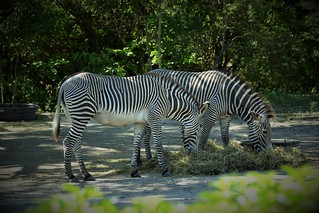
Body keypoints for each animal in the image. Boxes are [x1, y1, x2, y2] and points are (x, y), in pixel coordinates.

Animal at [52, 72, 209, 182]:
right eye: (199, 127)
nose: (195, 155)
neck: (168, 99)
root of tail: (65, 83)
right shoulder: (155, 118)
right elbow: (158, 144)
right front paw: (164, 169)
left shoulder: (140, 122)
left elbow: (135, 144)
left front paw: (134, 171)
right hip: (82, 114)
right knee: (68, 141)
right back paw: (71, 176)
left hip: (75, 117)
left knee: (76, 143)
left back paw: (86, 174)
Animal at [140, 68, 276, 160]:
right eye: (265, 132)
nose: (271, 154)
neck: (229, 96)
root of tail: (148, 72)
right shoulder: (211, 115)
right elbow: (204, 136)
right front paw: (200, 154)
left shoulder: (225, 117)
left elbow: (225, 137)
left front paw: (226, 152)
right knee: (146, 136)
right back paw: (149, 158)